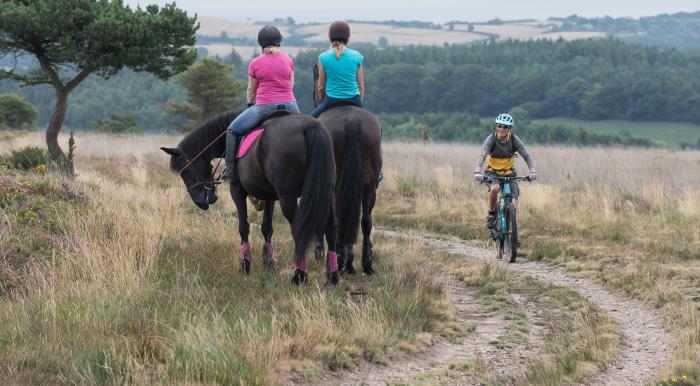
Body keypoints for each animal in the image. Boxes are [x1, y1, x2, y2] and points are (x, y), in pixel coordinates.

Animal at [162, 110, 342, 284]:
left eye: (185, 172)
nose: (200, 202)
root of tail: (309, 126)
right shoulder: (270, 195)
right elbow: (267, 227)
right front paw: (269, 264)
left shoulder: (237, 190)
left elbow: (243, 226)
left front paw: (245, 264)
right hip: (327, 193)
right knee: (331, 226)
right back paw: (332, 276)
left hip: (288, 196)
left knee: (299, 229)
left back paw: (299, 275)